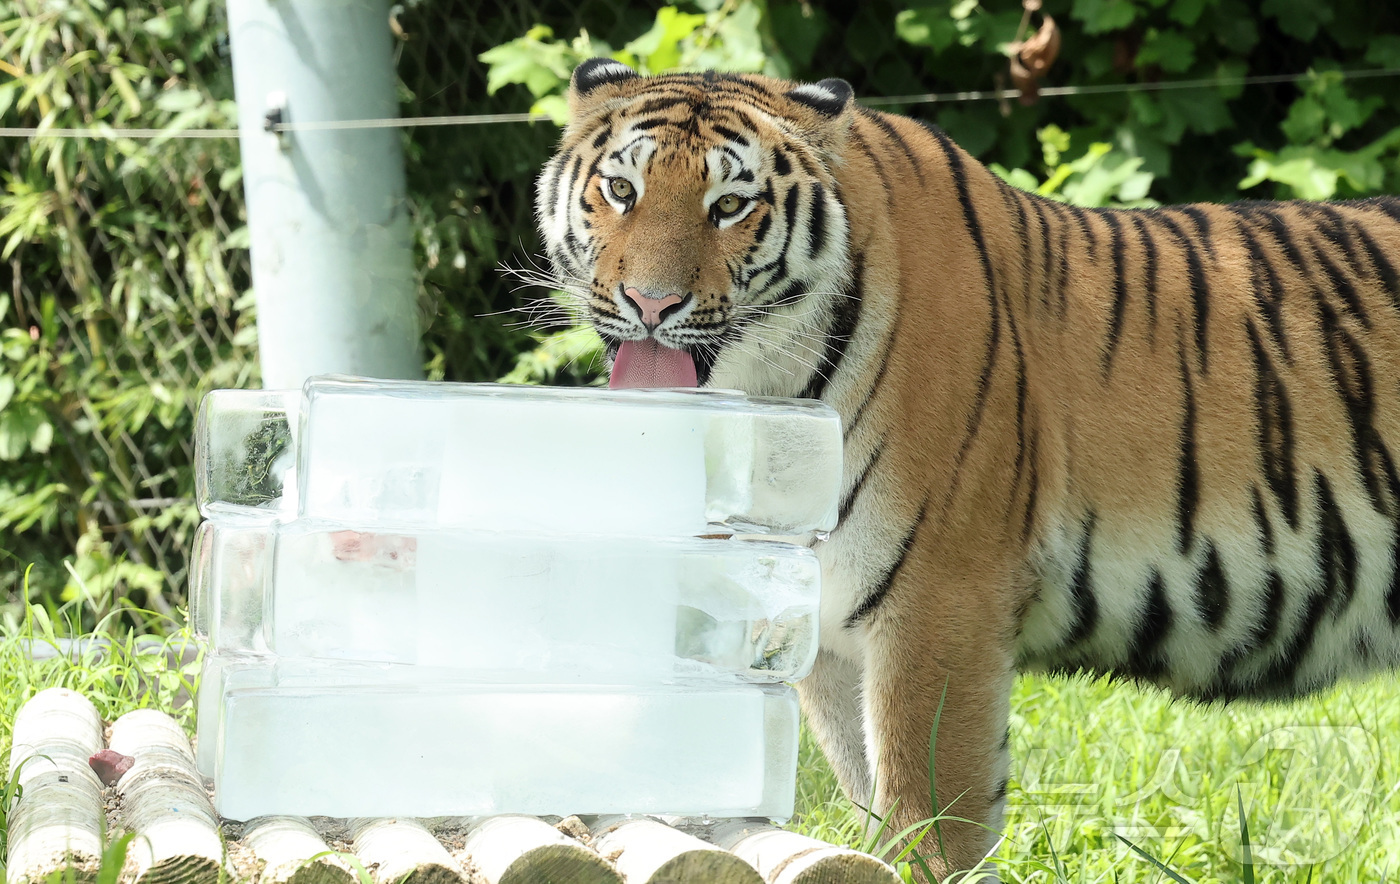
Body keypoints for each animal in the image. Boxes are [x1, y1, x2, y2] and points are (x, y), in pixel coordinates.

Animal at [529, 57, 1400, 879]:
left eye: (731, 207)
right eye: (621, 189)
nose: (650, 304)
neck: (771, 409)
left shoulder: (939, 601)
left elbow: (927, 813)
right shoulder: (820, 625)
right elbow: (867, 796)